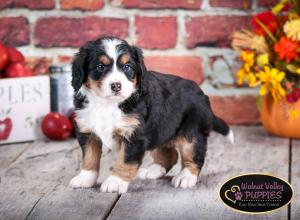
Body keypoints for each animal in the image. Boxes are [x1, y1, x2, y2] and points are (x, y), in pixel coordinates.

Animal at [69, 37, 233, 193]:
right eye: (100, 67)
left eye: (127, 67)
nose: (116, 86)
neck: (107, 104)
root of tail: (202, 94)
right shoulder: (87, 130)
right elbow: (89, 157)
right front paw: (85, 179)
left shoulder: (135, 135)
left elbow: (125, 160)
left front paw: (115, 182)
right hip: (160, 130)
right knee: (170, 155)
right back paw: (152, 171)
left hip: (192, 132)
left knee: (194, 157)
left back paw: (185, 178)